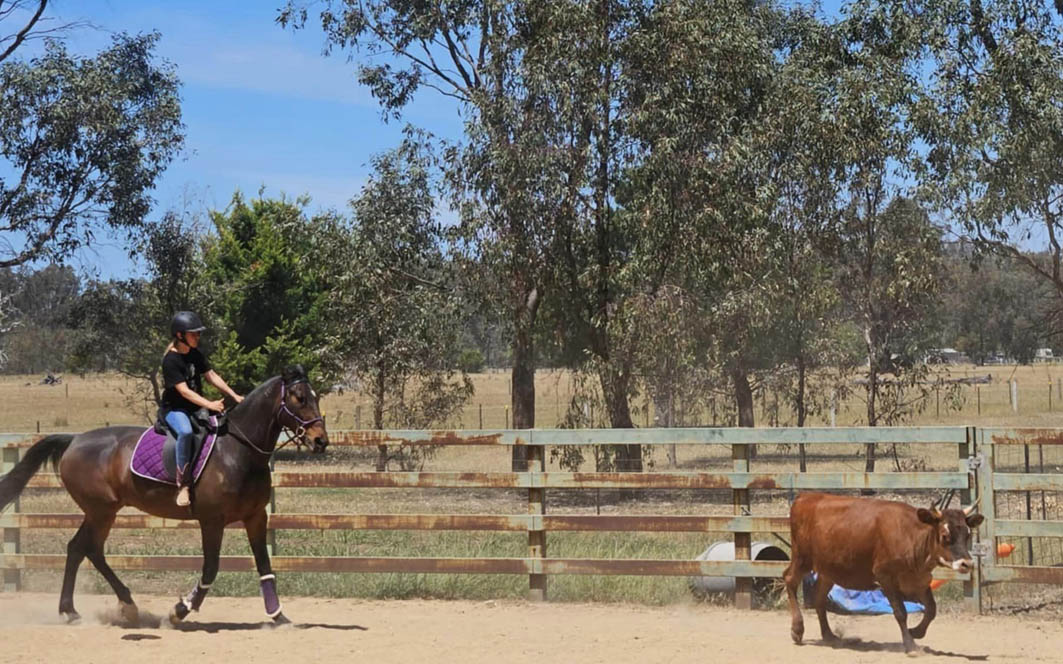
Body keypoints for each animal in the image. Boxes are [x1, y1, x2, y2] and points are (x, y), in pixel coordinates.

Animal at [782, 492, 983, 653]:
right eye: (945, 535)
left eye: (967, 534)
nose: (967, 564)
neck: (911, 536)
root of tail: (805, 497)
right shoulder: (885, 578)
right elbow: (900, 612)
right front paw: (910, 644)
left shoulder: (919, 581)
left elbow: (932, 609)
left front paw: (916, 632)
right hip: (802, 558)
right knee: (789, 579)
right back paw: (797, 630)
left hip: (828, 571)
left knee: (819, 598)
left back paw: (829, 635)